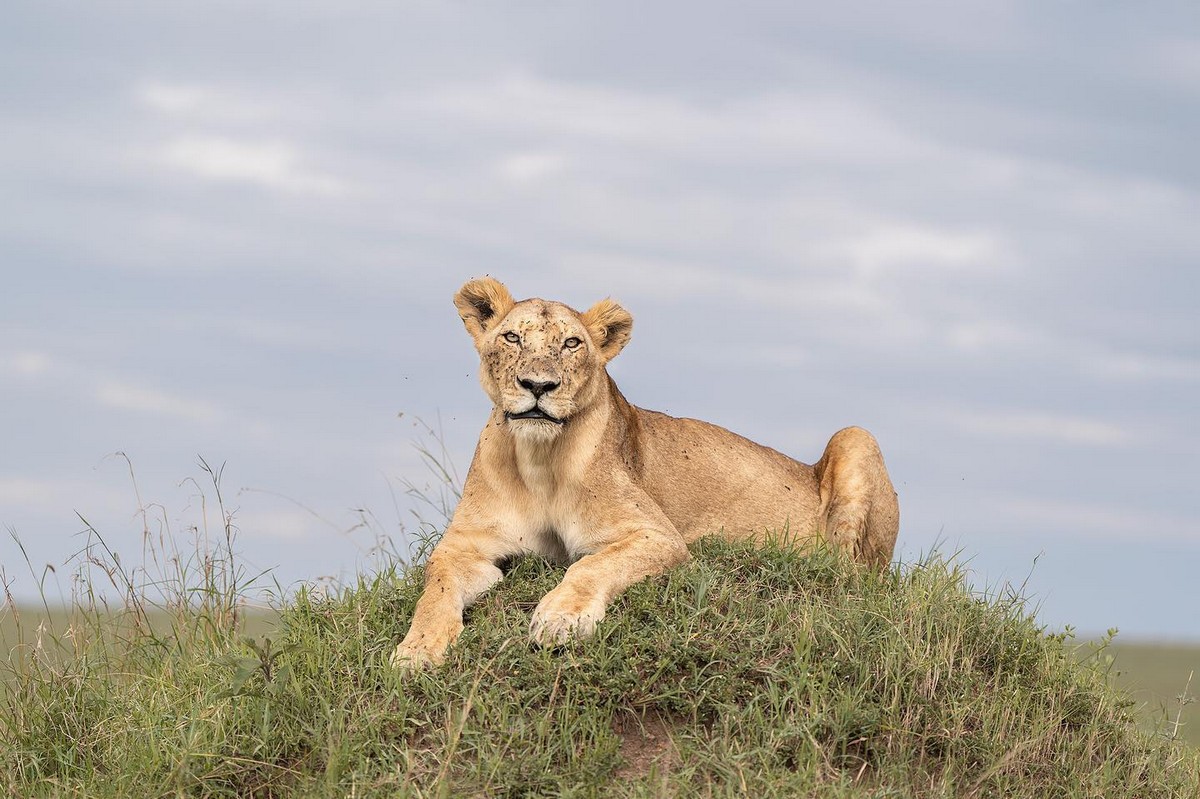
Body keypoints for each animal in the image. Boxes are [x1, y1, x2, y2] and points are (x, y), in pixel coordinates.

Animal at [388, 275, 897, 667]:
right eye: (512, 337)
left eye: (571, 343)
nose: (538, 385)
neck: (538, 459)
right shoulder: (465, 545)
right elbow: (435, 588)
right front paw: (416, 651)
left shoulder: (656, 535)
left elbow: (591, 565)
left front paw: (560, 618)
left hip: (856, 438)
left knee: (854, 576)